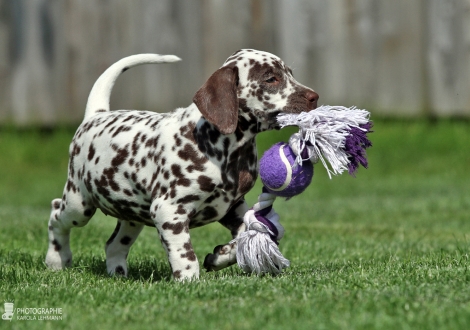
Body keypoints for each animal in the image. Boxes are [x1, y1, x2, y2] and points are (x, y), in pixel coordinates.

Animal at [46, 49, 318, 282]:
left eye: (290, 73)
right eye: (271, 78)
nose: (314, 97)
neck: (226, 149)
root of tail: (96, 115)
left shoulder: (233, 207)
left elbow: (254, 235)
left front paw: (220, 256)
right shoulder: (169, 211)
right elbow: (185, 254)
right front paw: (188, 281)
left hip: (131, 214)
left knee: (113, 245)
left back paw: (118, 273)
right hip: (79, 204)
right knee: (56, 214)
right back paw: (57, 260)